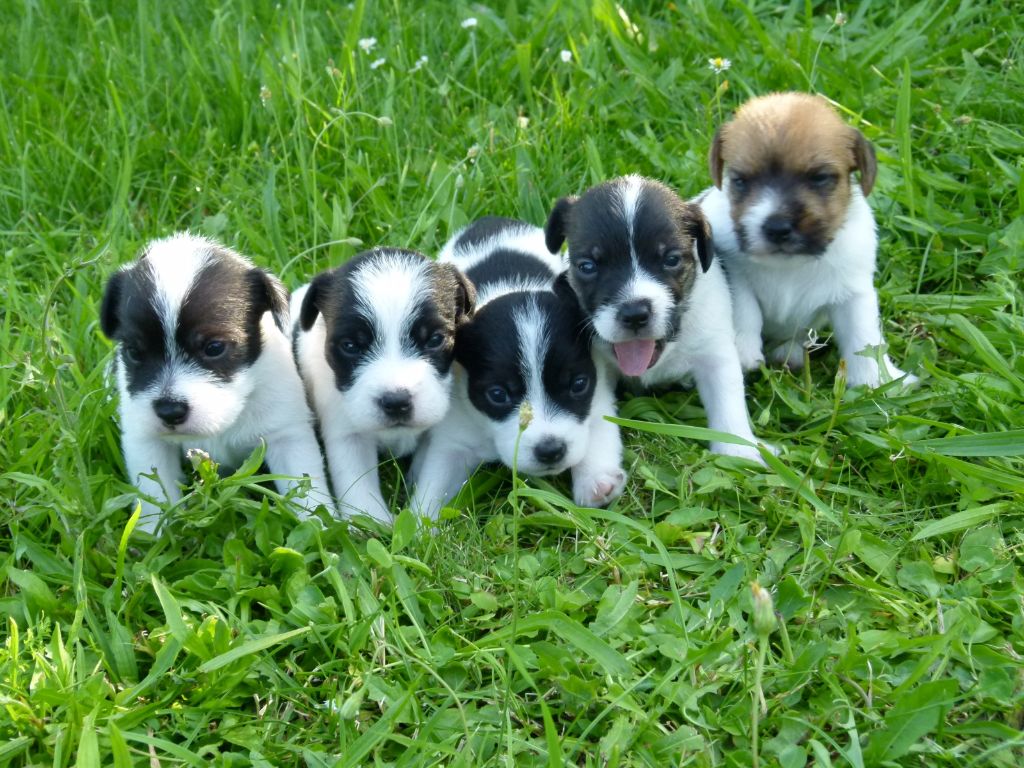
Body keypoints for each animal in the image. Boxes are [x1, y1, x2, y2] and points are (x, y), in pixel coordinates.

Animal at [100, 234, 331, 536]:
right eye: (134, 352)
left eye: (214, 347)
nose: (169, 411)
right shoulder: (146, 440)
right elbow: (154, 494)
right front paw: (150, 535)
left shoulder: (288, 435)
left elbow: (307, 488)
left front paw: (323, 528)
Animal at [292, 249, 475, 528]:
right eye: (350, 346)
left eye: (435, 339)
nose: (396, 402)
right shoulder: (348, 434)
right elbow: (356, 481)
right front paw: (369, 523)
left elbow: (434, 474)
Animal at [407, 217, 622, 524]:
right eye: (498, 395)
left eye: (578, 384)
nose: (550, 451)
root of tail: (490, 221)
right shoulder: (455, 436)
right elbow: (436, 479)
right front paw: (420, 524)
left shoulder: (597, 393)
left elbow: (598, 430)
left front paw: (595, 481)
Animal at [544, 175, 770, 462]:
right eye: (587, 266)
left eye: (671, 259)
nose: (634, 313)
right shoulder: (596, 368)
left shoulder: (714, 352)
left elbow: (728, 400)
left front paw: (739, 452)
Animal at [700, 92, 917, 387]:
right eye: (740, 180)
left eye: (820, 178)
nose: (777, 228)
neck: (790, 264)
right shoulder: (736, 276)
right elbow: (746, 310)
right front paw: (743, 353)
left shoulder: (853, 294)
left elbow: (864, 338)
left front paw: (877, 381)